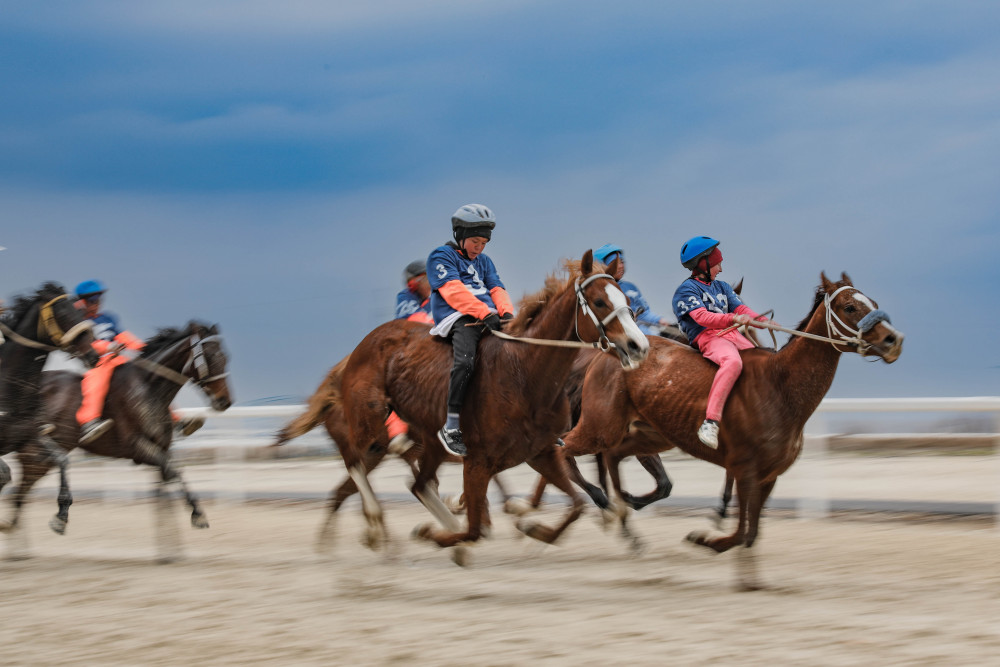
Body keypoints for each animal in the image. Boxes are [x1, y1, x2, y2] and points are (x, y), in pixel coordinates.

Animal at [0, 284, 98, 536]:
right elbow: (5, 474)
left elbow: (62, 459)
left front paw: (61, 515)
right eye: (61, 313)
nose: (94, 355)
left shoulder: (32, 433)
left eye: (79, 310)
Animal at [3, 320, 232, 552]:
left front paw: (171, 546)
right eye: (210, 356)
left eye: (225, 357)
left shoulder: (161, 447)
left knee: (19, 493)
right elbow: (173, 472)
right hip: (34, 451)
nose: (225, 401)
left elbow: (170, 478)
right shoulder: (137, 446)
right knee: (19, 491)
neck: (149, 389)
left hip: (39, 458)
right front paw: (197, 514)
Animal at [328, 253, 648, 560]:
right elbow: (474, 530)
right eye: (599, 301)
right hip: (370, 420)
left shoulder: (540, 453)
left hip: (429, 440)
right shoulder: (478, 462)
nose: (639, 346)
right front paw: (438, 535)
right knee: (356, 461)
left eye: (626, 299)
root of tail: (362, 346)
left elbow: (577, 505)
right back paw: (373, 526)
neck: (525, 373)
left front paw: (533, 529)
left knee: (419, 485)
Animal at [564, 272, 908, 588]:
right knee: (564, 448)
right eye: (850, 307)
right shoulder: (745, 468)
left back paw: (623, 508)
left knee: (613, 456)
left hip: (648, 435)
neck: (780, 386)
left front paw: (746, 575)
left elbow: (751, 531)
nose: (894, 340)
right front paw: (704, 539)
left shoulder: (768, 475)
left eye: (872, 302)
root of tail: (610, 351)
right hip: (599, 426)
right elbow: (742, 529)